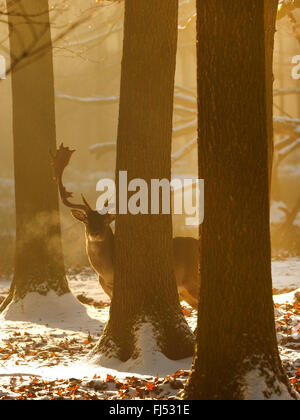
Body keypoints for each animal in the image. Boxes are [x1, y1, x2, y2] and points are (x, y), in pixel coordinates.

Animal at [51, 144, 199, 308]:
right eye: (86, 221)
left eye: (106, 221)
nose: (95, 232)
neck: (106, 274)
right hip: (186, 292)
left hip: (193, 281)